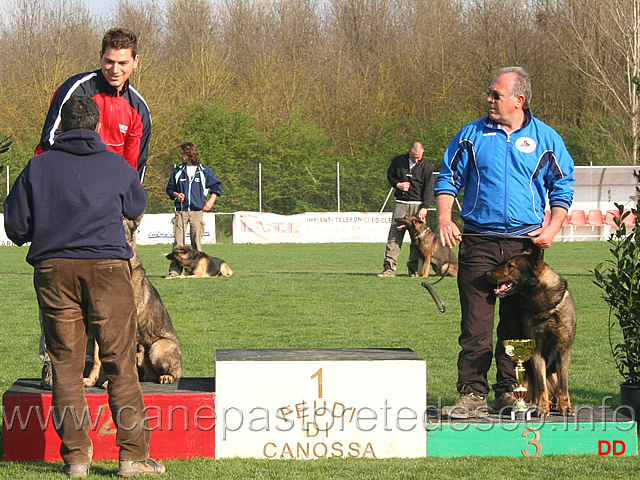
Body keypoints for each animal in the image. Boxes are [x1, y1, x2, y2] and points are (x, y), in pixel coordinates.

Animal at [488, 244, 576, 416]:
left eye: (510, 265)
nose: (486, 273)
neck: (545, 308)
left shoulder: (563, 351)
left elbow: (564, 385)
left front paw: (565, 407)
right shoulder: (537, 352)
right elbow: (541, 385)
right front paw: (542, 408)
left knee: (560, 388)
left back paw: (557, 404)